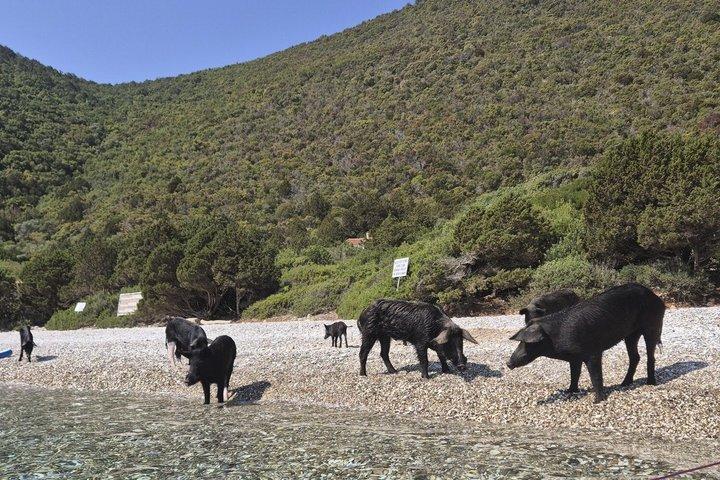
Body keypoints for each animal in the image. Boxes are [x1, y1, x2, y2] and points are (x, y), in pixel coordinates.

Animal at [507, 283, 665, 403]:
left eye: (526, 342)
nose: (508, 363)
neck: (556, 337)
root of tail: (657, 298)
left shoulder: (593, 352)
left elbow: (595, 375)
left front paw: (597, 401)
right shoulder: (574, 358)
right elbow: (574, 374)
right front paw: (570, 391)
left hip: (653, 324)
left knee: (650, 355)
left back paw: (650, 383)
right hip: (630, 334)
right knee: (635, 357)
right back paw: (624, 383)